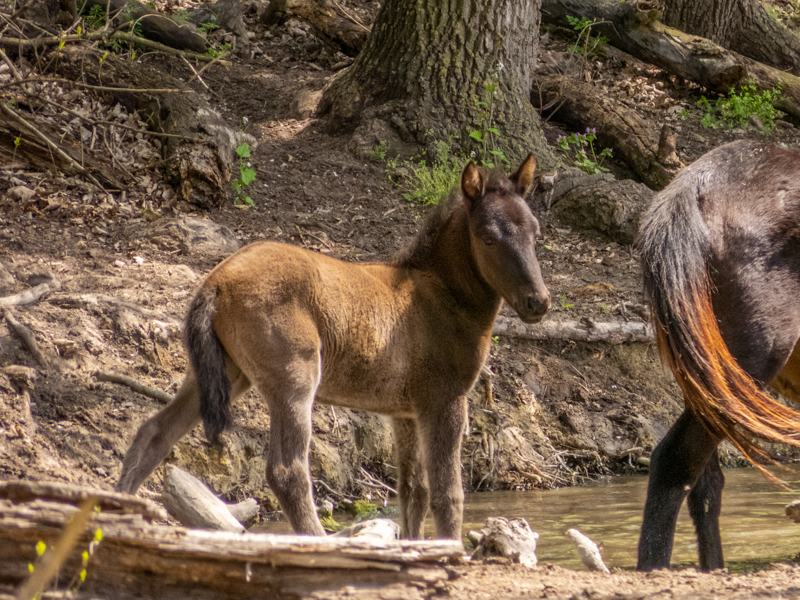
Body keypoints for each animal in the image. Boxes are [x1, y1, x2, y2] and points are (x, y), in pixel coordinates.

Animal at [116, 156, 551, 540]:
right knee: (287, 471)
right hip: (294, 378)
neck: (442, 297)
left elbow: (414, 491)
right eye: (488, 237)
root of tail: (215, 282)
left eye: (535, 231)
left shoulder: (406, 411)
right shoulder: (445, 400)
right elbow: (448, 494)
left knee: (153, 433)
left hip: (222, 372)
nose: (538, 302)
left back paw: (117, 511)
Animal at [637, 139, 800, 571]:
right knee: (675, 461)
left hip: (704, 376)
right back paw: (653, 567)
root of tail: (692, 187)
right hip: (749, 363)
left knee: (703, 480)